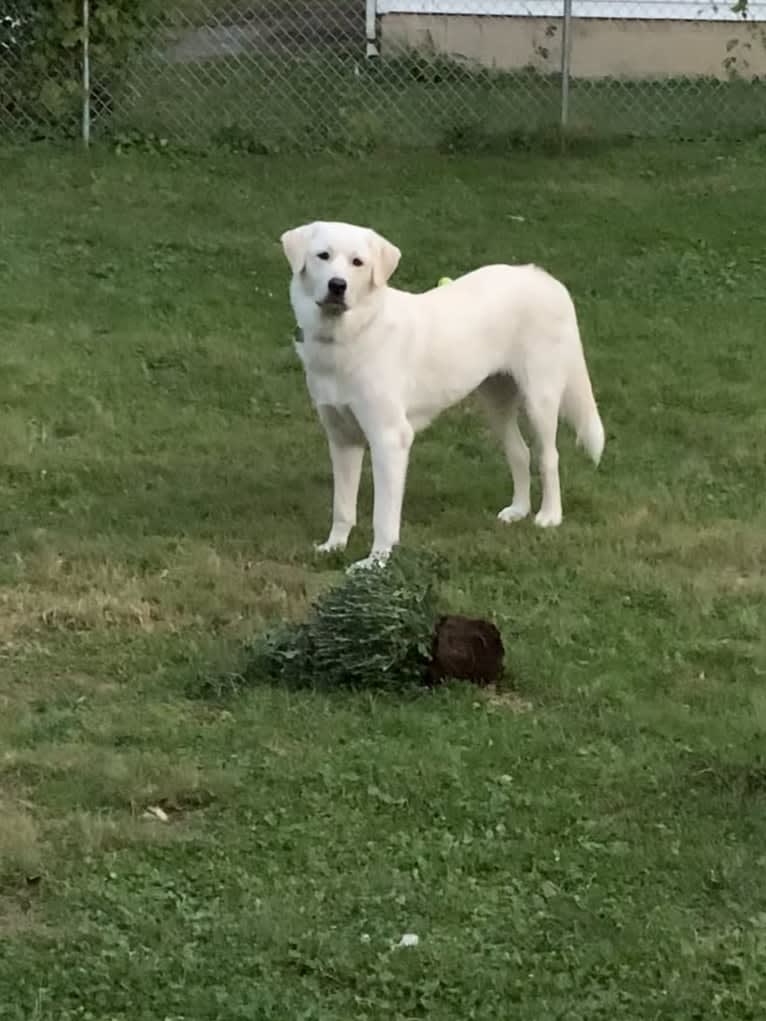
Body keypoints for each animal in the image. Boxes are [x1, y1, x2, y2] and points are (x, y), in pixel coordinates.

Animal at [281, 220, 604, 571]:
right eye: (323, 256)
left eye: (358, 262)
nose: (337, 286)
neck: (350, 333)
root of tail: (544, 278)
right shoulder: (342, 438)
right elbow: (342, 507)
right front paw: (334, 546)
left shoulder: (390, 439)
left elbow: (383, 516)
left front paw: (376, 562)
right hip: (496, 401)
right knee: (520, 452)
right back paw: (518, 511)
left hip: (539, 400)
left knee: (548, 456)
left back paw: (549, 516)